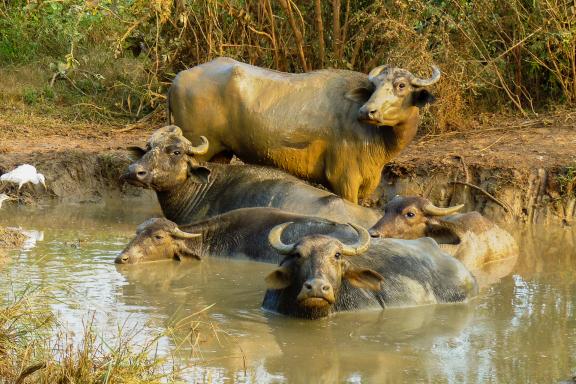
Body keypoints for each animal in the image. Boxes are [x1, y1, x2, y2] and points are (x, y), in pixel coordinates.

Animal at [169, 57, 438, 204]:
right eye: (375, 86)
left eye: (401, 85)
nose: (367, 111)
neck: (378, 140)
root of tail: (178, 79)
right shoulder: (344, 181)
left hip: (221, 154)